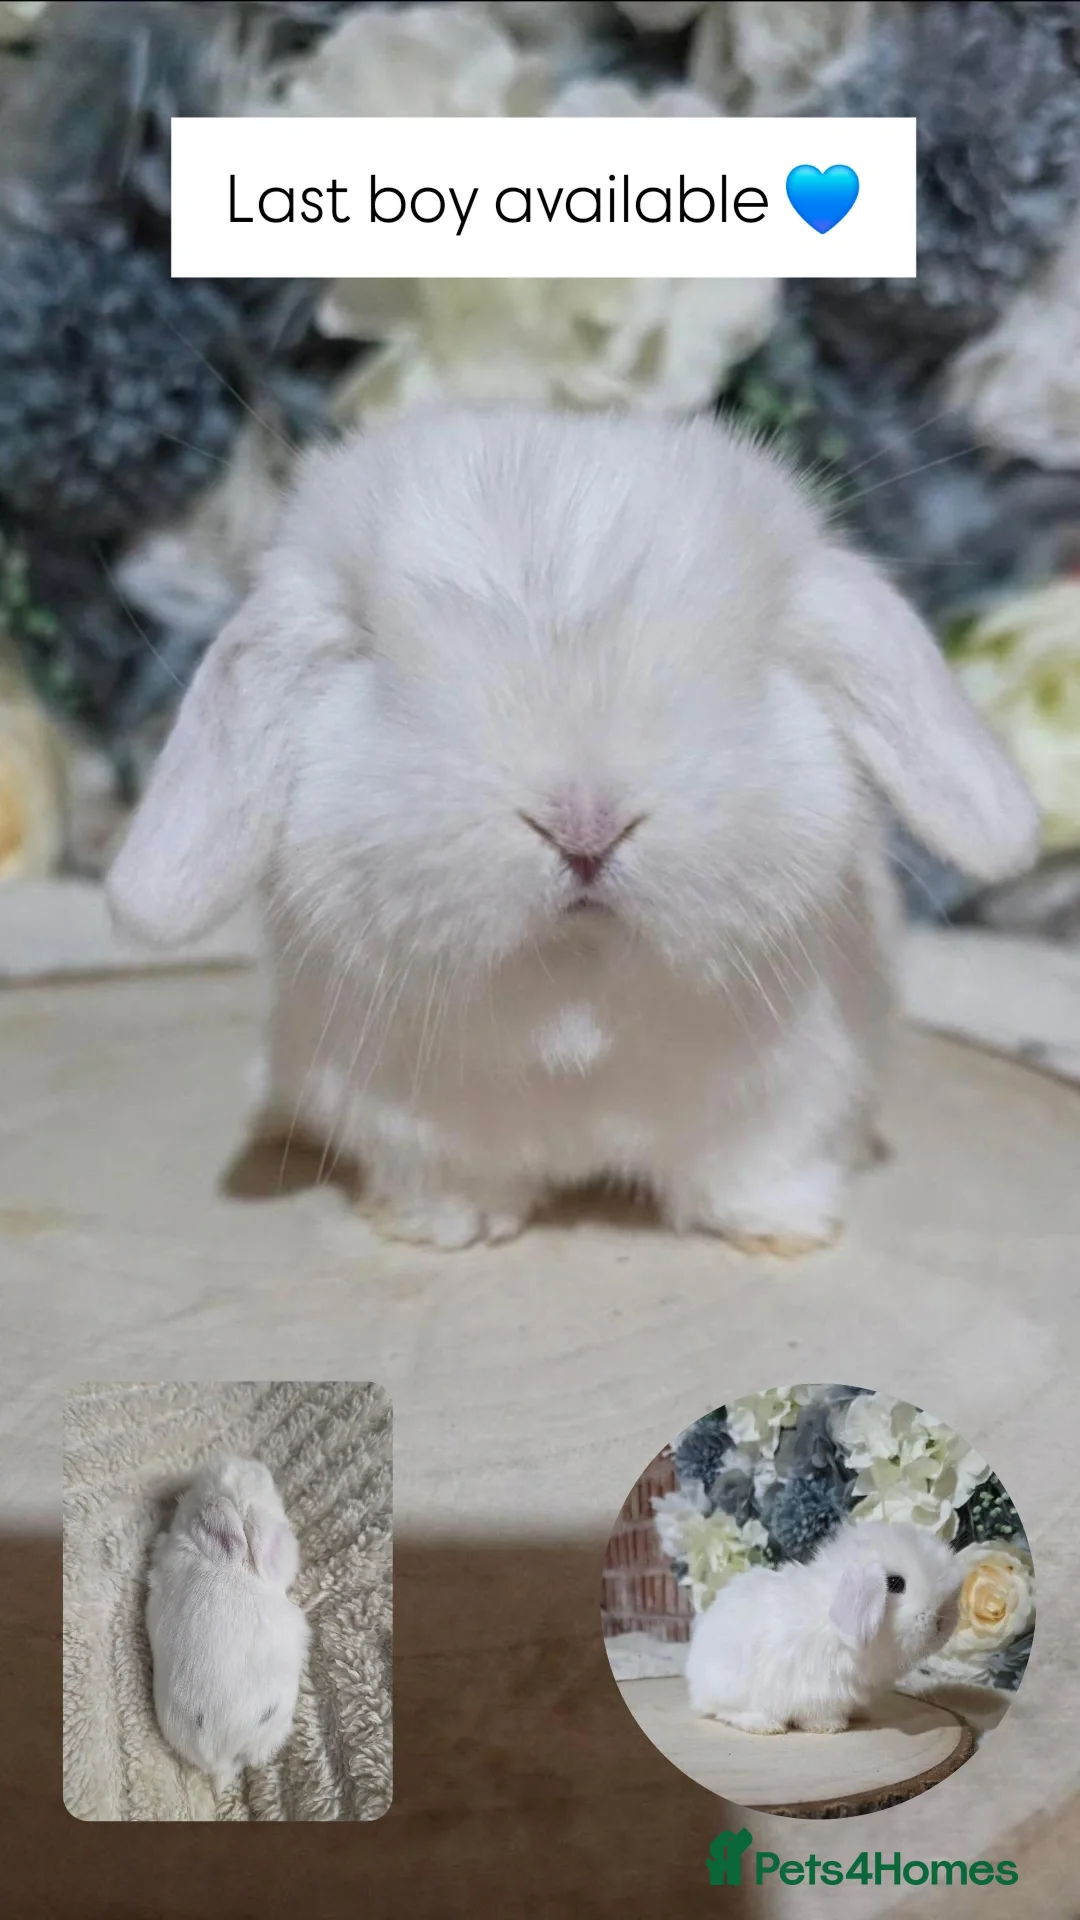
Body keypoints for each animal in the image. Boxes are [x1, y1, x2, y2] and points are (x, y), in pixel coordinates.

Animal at [107, 407, 1038, 1254]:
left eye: (754, 657)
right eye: (368, 656)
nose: (586, 825)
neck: (576, 1001)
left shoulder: (791, 1098)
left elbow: (758, 1169)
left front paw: (786, 1229)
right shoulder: (408, 1120)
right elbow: (441, 1177)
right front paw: (444, 1228)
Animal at [685, 1520, 964, 1734]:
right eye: (895, 1583)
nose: (942, 1621)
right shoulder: (819, 1691)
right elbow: (817, 1714)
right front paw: (830, 1726)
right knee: (723, 1711)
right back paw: (765, 1725)